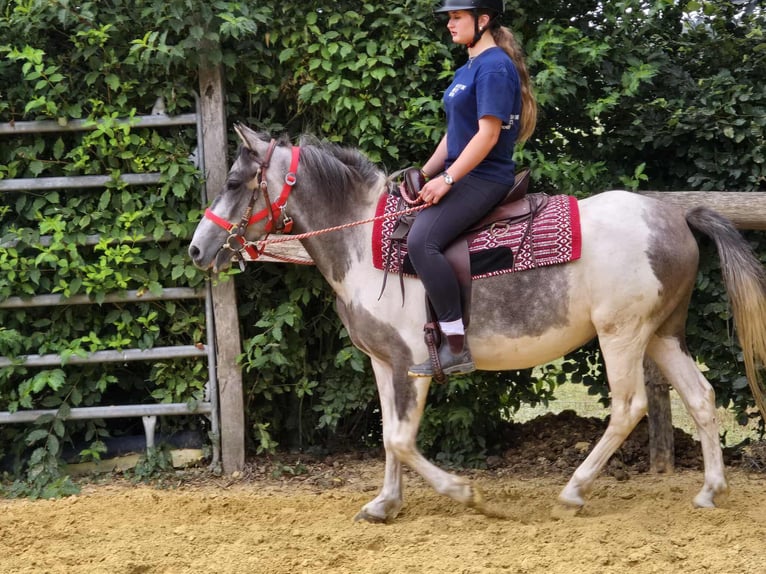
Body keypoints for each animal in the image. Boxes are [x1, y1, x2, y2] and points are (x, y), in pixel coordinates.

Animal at [189, 124, 766, 521]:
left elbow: (401, 438)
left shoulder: (411, 364)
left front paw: (465, 494)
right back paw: (709, 491)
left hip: (621, 333)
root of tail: (674, 215)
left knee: (629, 407)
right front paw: (384, 504)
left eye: (235, 181)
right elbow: (388, 436)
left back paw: (572, 492)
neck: (364, 243)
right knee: (701, 397)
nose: (198, 249)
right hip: (662, 333)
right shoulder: (382, 362)